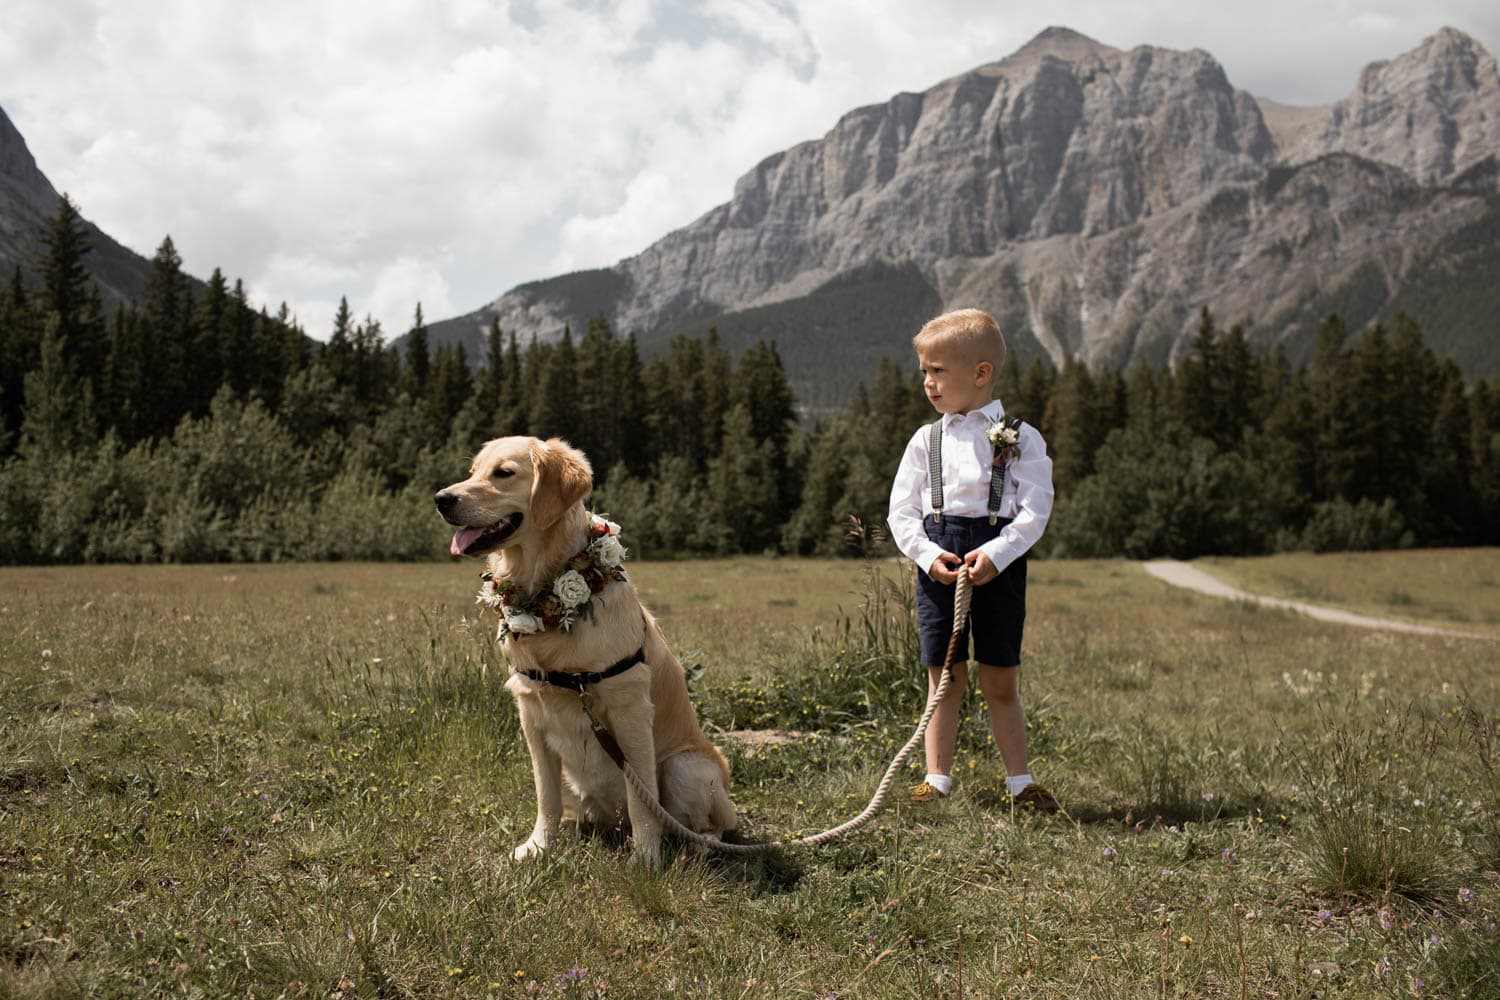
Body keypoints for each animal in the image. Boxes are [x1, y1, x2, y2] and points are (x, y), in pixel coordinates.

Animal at [435, 437, 738, 869]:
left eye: (503, 473)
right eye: (473, 471)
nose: (442, 499)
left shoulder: (629, 712)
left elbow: (644, 802)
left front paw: (645, 861)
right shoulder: (531, 713)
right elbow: (545, 796)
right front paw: (538, 846)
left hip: (687, 766)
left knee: (707, 825)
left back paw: (698, 846)